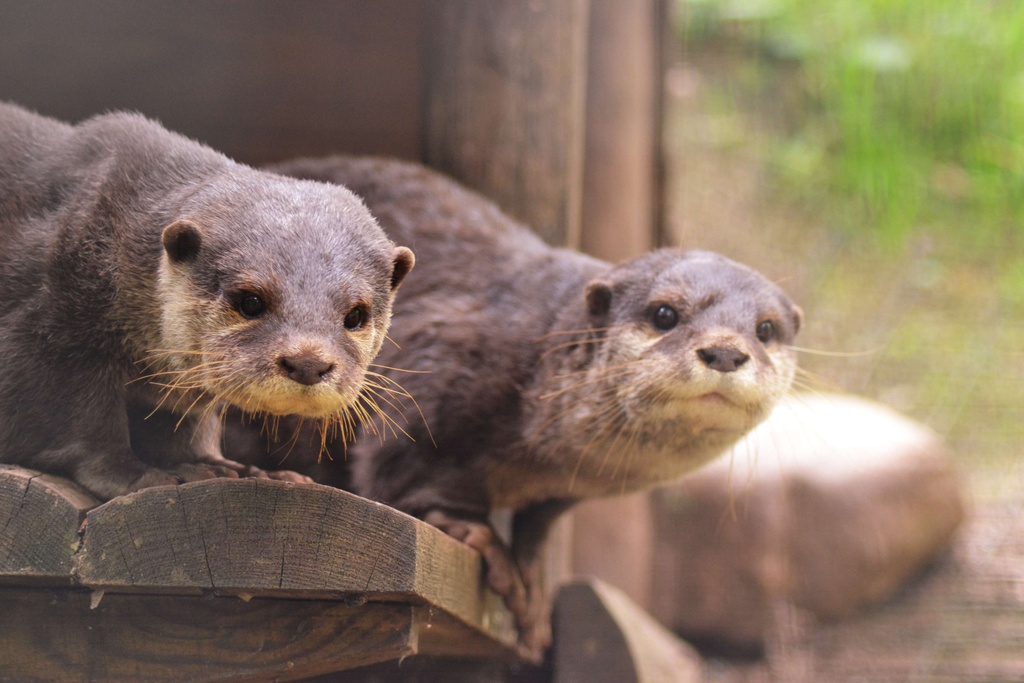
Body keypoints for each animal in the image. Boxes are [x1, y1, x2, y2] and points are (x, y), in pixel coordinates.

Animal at [2, 105, 415, 501]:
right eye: (250, 302)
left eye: (355, 315)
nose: (308, 363)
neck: (111, 238)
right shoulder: (49, 324)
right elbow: (72, 417)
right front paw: (135, 473)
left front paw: (223, 468)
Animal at [256, 156, 798, 663]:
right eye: (665, 313)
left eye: (765, 328)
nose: (725, 351)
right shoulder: (433, 370)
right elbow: (400, 471)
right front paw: (478, 538)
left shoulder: (561, 489)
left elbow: (540, 521)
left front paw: (534, 586)